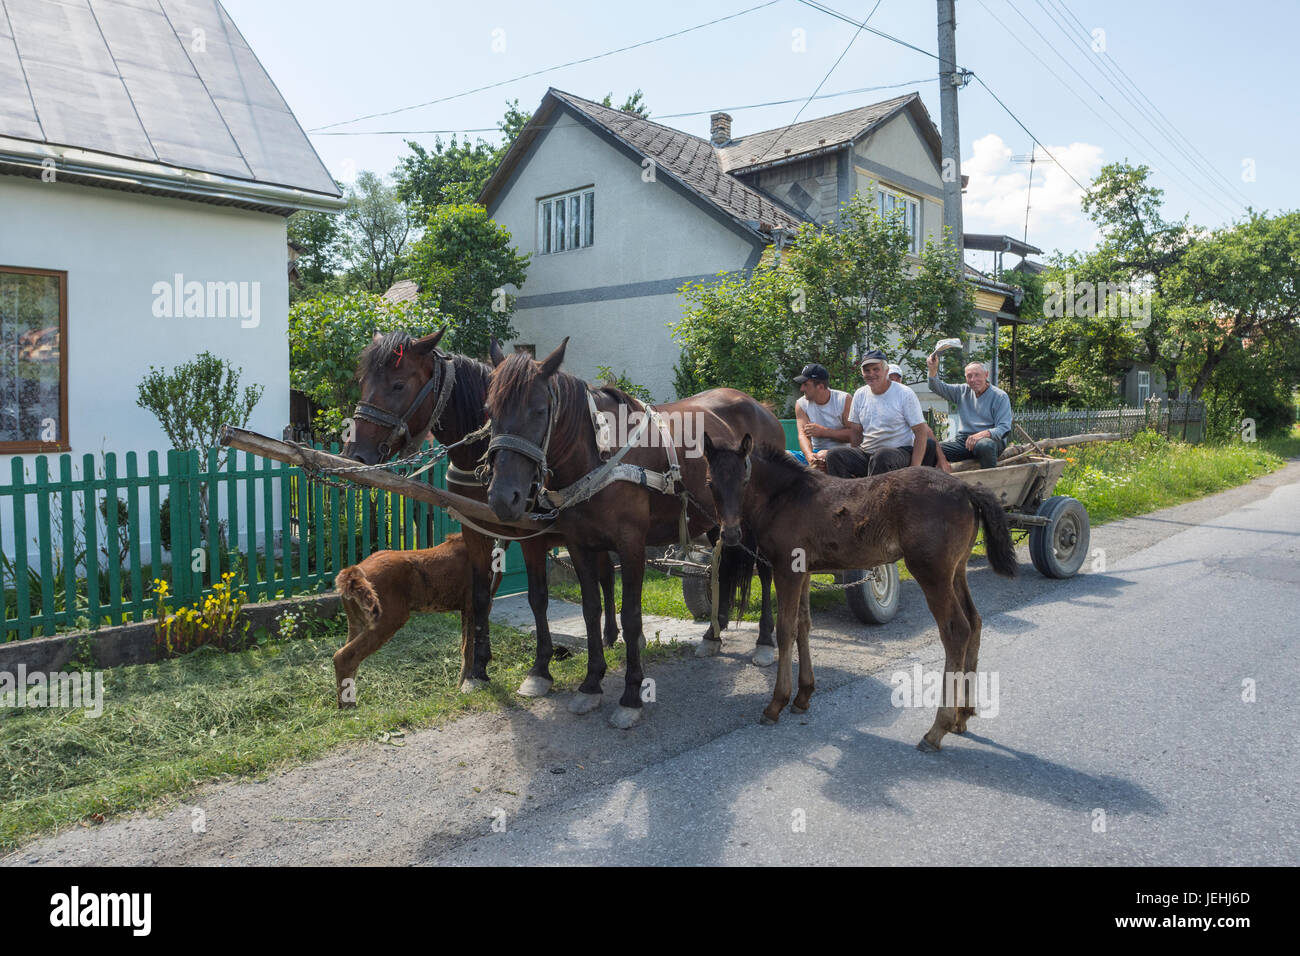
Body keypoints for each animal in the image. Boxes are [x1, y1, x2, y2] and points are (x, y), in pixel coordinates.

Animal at [486, 340, 780, 728]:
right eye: (489, 412)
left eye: (538, 411)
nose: (503, 498)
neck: (599, 452)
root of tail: (762, 408)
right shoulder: (580, 545)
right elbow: (591, 610)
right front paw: (591, 684)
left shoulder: (631, 546)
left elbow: (630, 616)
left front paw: (631, 696)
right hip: (719, 519)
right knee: (721, 568)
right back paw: (712, 634)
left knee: (764, 569)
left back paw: (764, 642)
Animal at [707, 434, 1019, 754]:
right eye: (710, 483)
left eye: (744, 479)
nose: (729, 535)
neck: (784, 497)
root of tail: (967, 488)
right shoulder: (804, 572)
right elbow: (804, 625)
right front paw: (803, 696)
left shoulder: (787, 571)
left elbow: (786, 631)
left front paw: (776, 704)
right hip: (956, 569)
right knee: (975, 621)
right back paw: (962, 716)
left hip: (932, 573)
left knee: (956, 631)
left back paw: (936, 730)